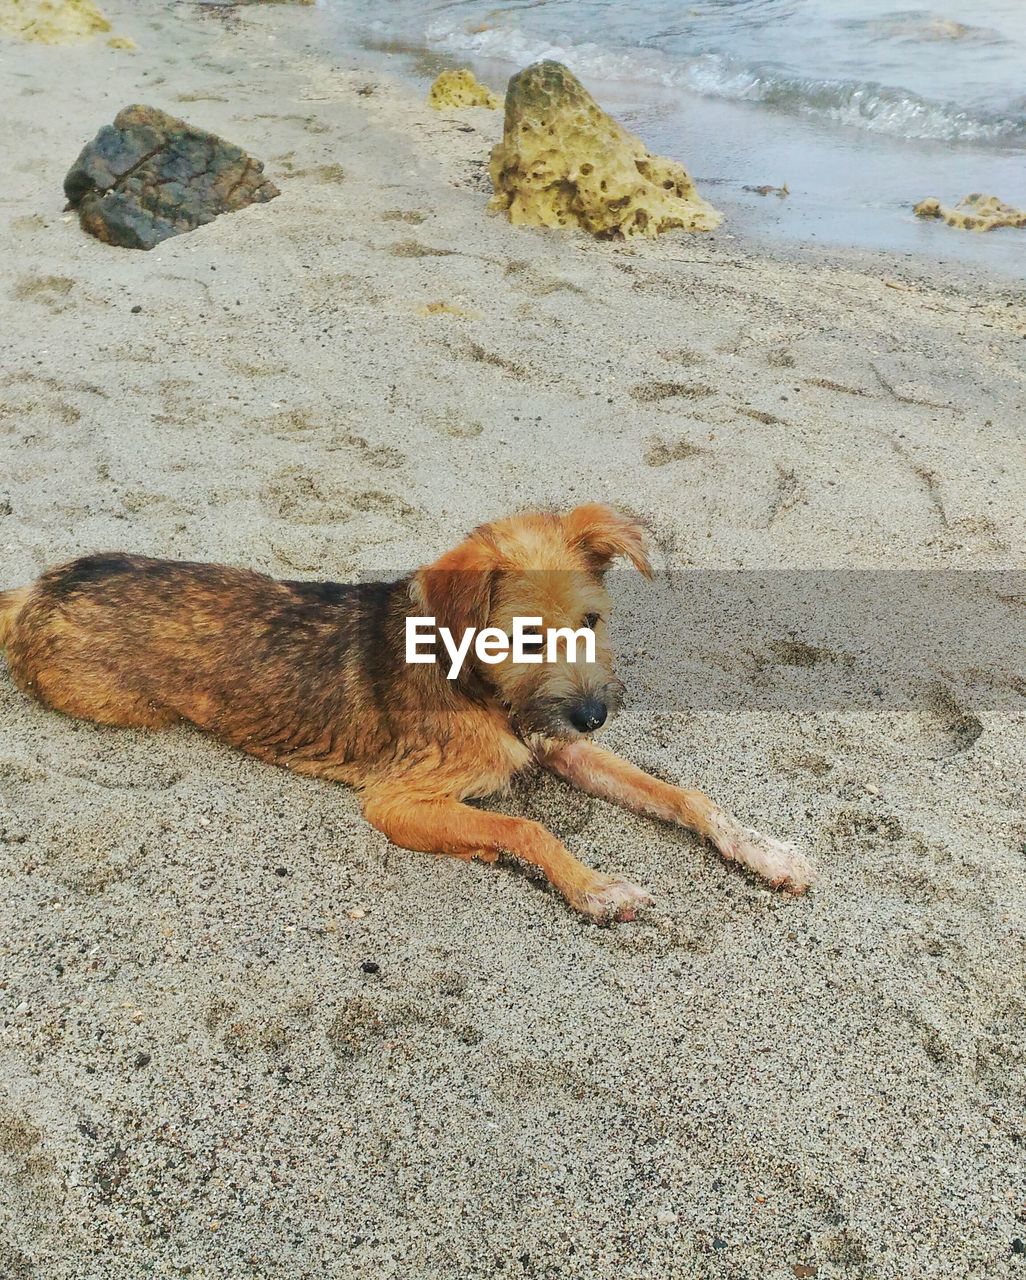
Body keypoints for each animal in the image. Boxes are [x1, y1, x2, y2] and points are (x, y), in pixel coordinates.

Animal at [0, 501, 813, 921]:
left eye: (591, 621)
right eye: (526, 636)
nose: (594, 715)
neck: (480, 685)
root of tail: (37, 587)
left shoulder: (558, 743)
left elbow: (684, 794)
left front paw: (765, 851)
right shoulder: (395, 799)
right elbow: (526, 824)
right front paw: (594, 886)